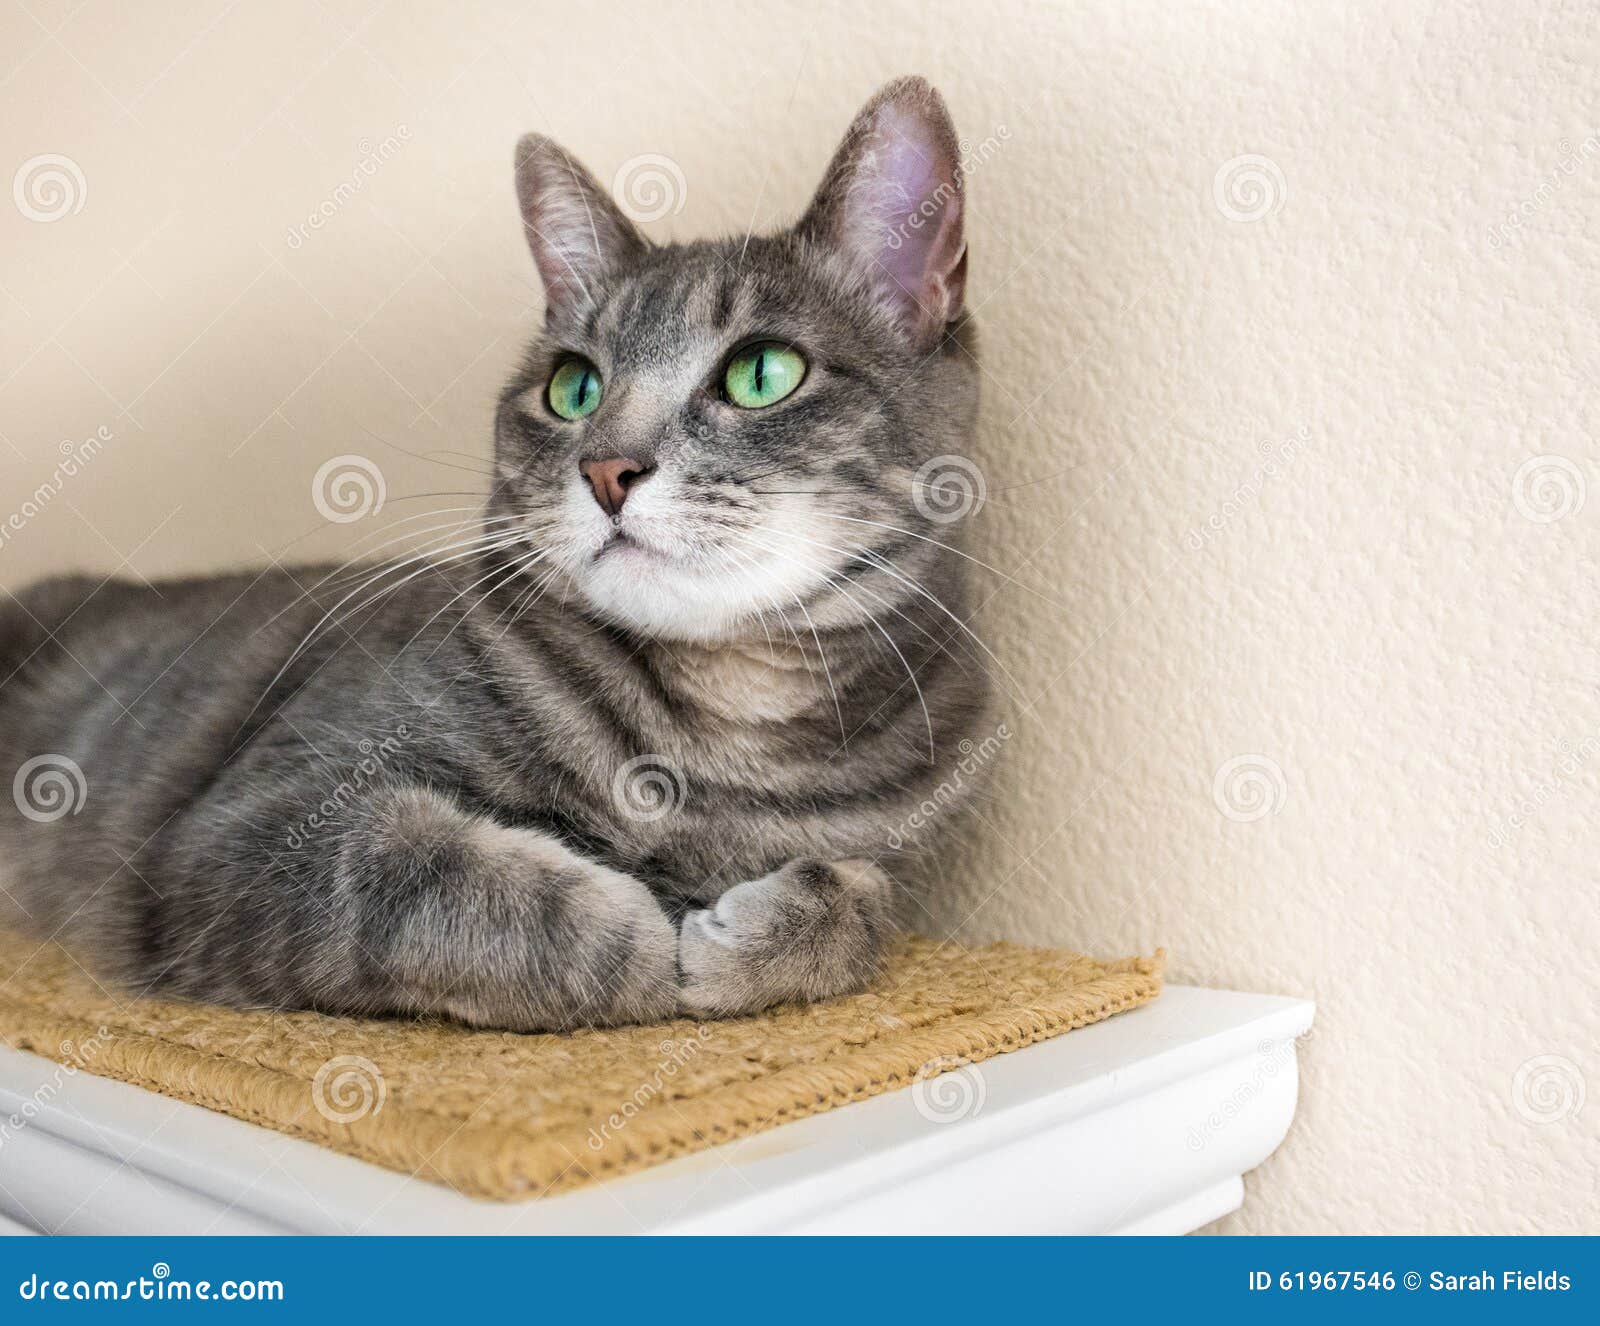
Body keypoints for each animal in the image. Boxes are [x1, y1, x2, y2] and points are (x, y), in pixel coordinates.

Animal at [0, 75, 985, 1036]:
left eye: (761, 373)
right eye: (573, 386)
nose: (607, 469)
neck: (718, 742)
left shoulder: (899, 842)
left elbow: (863, 902)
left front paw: (758, 933)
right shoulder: (253, 825)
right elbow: (435, 880)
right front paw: (642, 931)